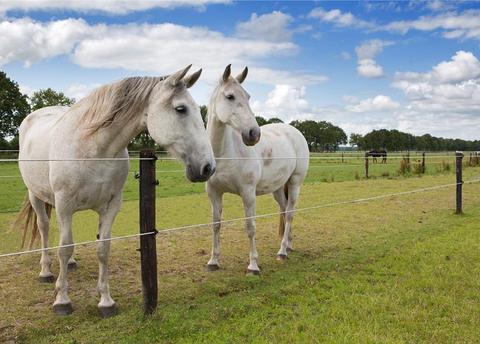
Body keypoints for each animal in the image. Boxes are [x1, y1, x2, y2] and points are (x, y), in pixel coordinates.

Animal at [16, 64, 216, 318]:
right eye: (181, 109)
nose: (208, 167)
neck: (93, 148)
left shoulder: (111, 206)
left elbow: (103, 249)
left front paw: (106, 301)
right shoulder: (64, 205)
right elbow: (64, 247)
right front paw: (62, 300)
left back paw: (70, 264)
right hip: (37, 197)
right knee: (44, 228)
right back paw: (46, 271)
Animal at [204, 64, 310, 274]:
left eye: (248, 96)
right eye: (230, 96)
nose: (254, 134)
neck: (225, 153)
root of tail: (295, 131)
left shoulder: (248, 193)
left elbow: (250, 226)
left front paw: (253, 265)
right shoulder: (214, 193)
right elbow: (216, 225)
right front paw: (213, 261)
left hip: (295, 183)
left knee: (290, 213)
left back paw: (282, 252)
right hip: (278, 188)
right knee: (284, 211)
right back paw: (288, 245)